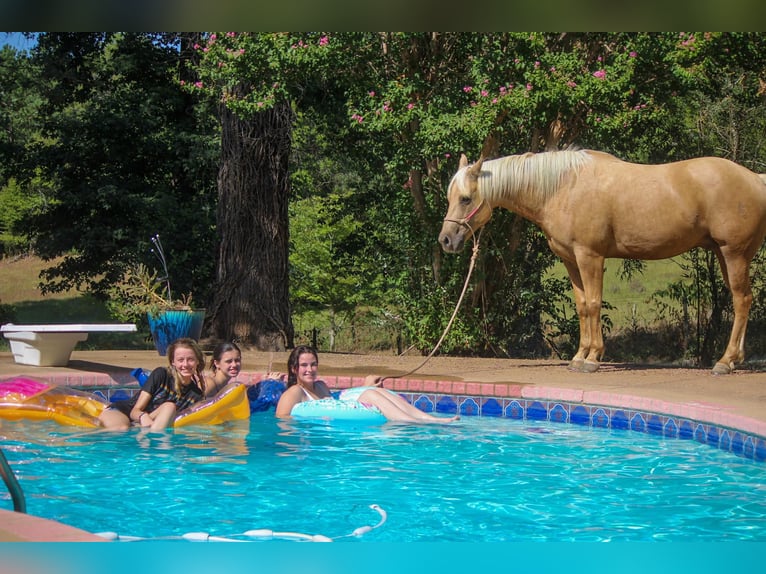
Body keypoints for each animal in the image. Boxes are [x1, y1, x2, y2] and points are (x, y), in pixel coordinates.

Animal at [440, 148, 766, 376]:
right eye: (449, 197)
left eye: (466, 198)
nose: (446, 240)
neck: (562, 188)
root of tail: (755, 179)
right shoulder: (571, 260)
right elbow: (583, 306)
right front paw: (579, 356)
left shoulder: (590, 256)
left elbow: (595, 303)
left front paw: (593, 358)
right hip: (724, 254)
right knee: (742, 300)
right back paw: (733, 359)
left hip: (734, 254)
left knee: (742, 300)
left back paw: (725, 362)